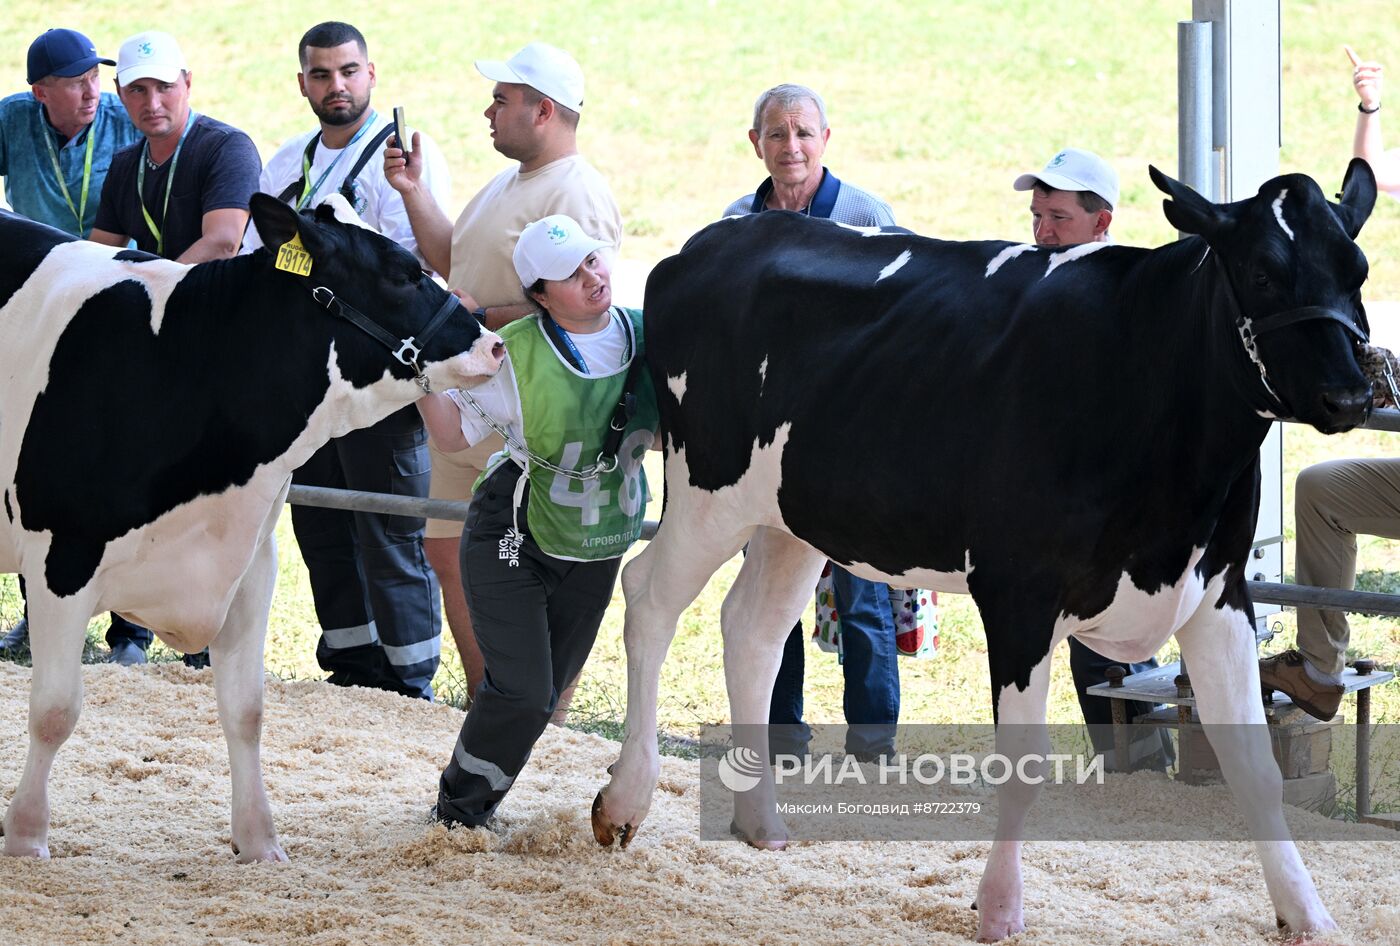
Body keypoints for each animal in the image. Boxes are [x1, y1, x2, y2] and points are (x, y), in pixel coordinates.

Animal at [0, 195, 504, 862]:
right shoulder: (61, 558)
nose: (495, 346)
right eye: (404, 272)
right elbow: (55, 709)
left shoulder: (250, 563)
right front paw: (26, 837)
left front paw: (260, 842)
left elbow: (246, 711)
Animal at [593, 162, 1377, 940]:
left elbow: (1255, 767)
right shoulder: (1019, 593)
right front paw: (999, 907)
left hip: (791, 520)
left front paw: (1306, 913)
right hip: (707, 491)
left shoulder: (1219, 591)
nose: (1351, 395)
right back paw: (624, 801)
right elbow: (1024, 766)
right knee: (649, 597)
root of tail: (710, 242)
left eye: (1358, 269)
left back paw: (760, 820)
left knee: (751, 630)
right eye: (1263, 272)